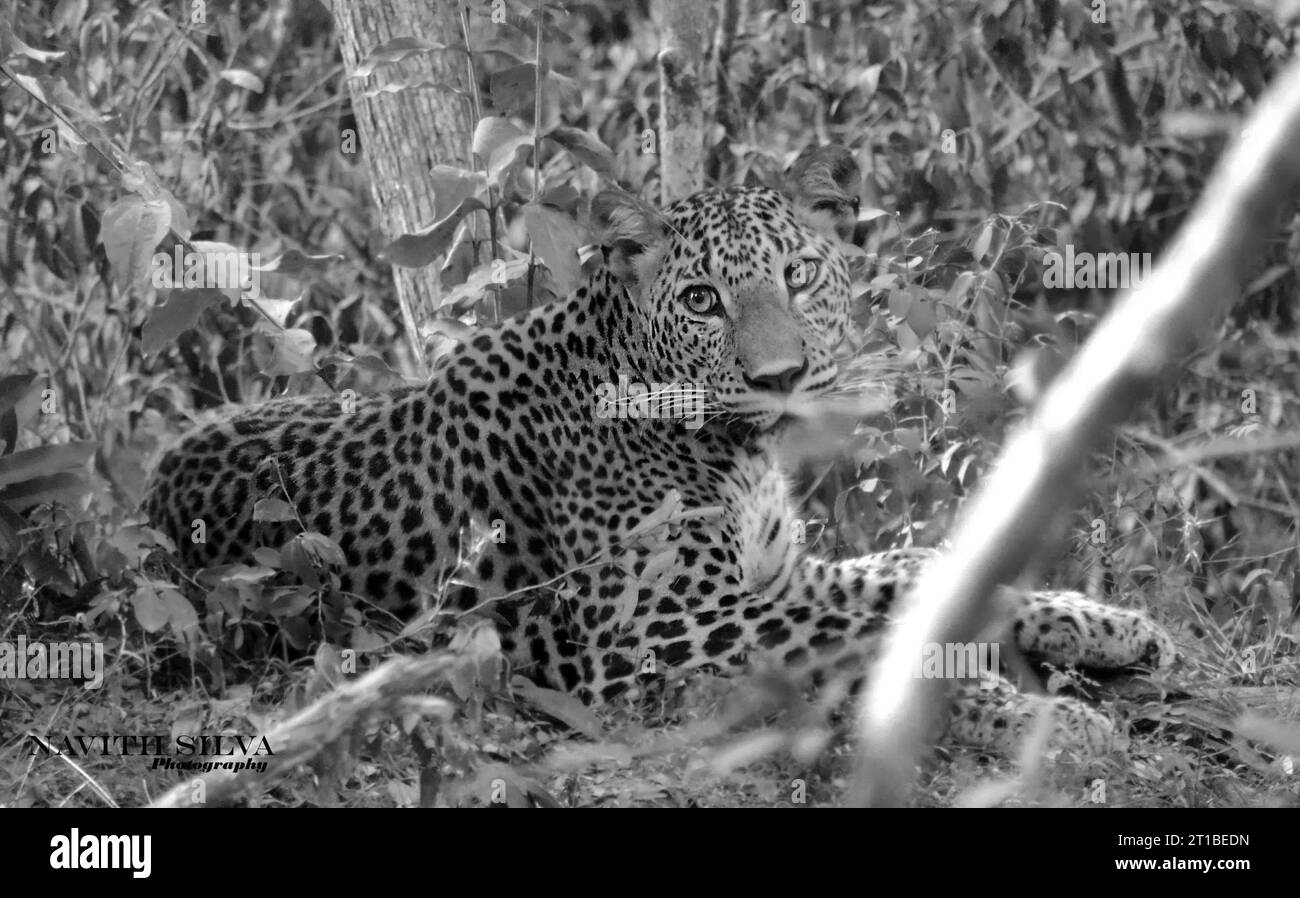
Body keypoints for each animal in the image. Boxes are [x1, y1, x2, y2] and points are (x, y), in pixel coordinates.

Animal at [144, 147, 1180, 758]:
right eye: (701, 302)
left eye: (799, 275)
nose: (783, 376)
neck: (736, 450)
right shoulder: (660, 625)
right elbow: (864, 629)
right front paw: (1047, 718)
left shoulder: (770, 575)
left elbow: (914, 566)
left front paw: (1106, 624)